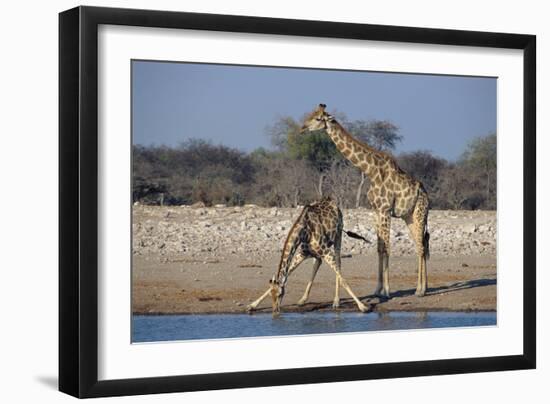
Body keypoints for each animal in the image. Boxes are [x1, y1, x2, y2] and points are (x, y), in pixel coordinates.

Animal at [300, 104, 434, 298]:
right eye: (311, 114)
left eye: (318, 118)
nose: (302, 128)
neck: (371, 170)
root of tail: (425, 194)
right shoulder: (376, 210)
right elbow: (379, 248)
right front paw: (378, 289)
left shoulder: (385, 210)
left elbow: (387, 247)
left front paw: (387, 291)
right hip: (408, 217)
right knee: (420, 245)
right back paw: (425, 287)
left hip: (420, 213)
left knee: (422, 246)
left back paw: (420, 290)